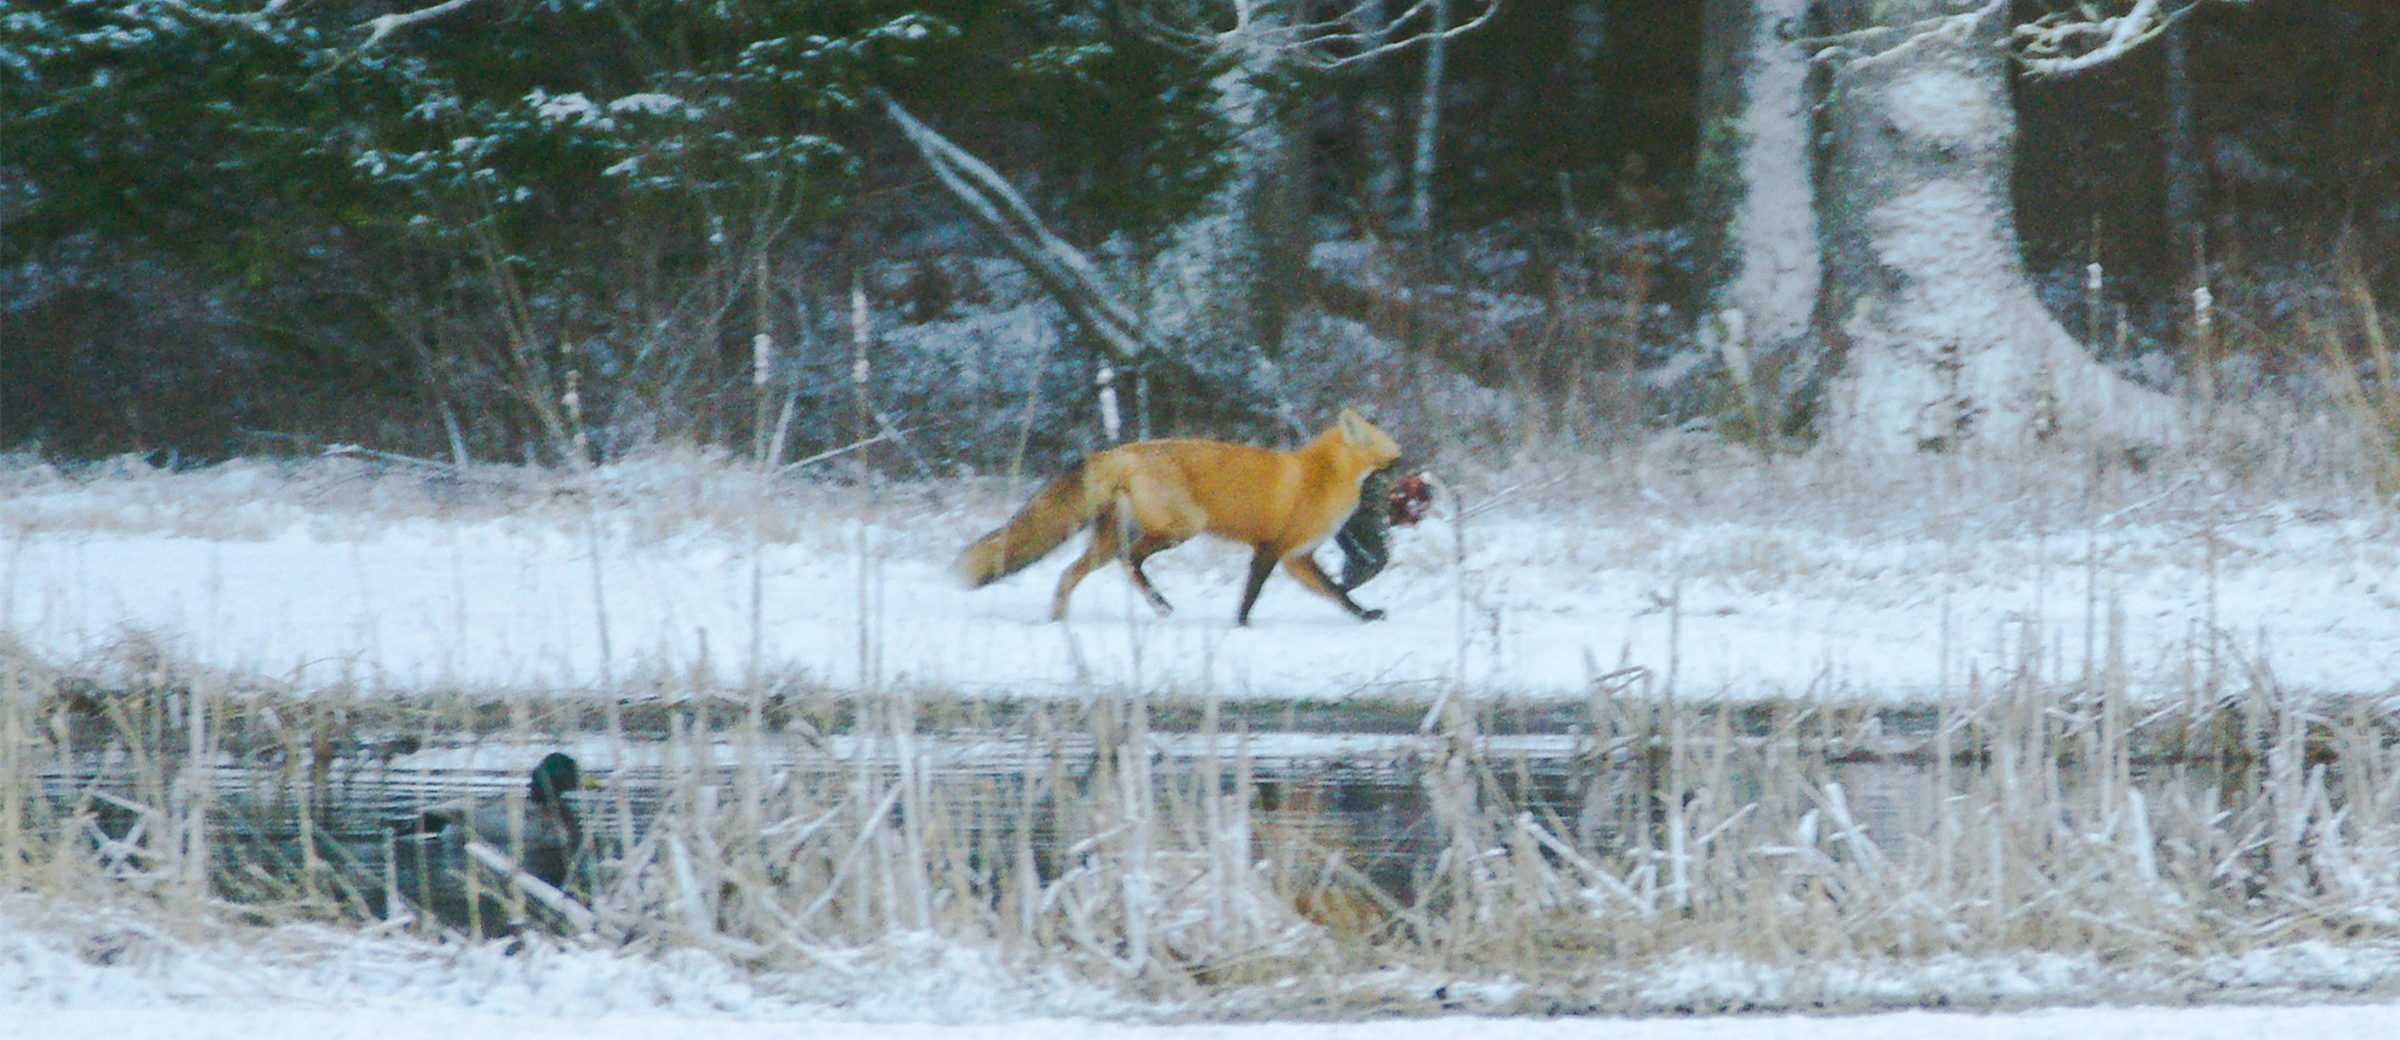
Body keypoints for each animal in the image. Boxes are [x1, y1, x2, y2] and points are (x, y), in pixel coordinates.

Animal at [954, 408, 1404, 626]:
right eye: (1393, 463)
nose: (1408, 478)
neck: (1322, 475)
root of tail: (1118, 451)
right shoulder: (1270, 550)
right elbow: (1250, 597)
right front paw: (1241, 628)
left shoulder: (1296, 559)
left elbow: (1339, 595)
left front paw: (1366, 616)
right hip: (1184, 526)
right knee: (1129, 560)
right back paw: (1158, 604)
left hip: (1110, 540)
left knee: (1070, 574)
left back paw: (1057, 623)